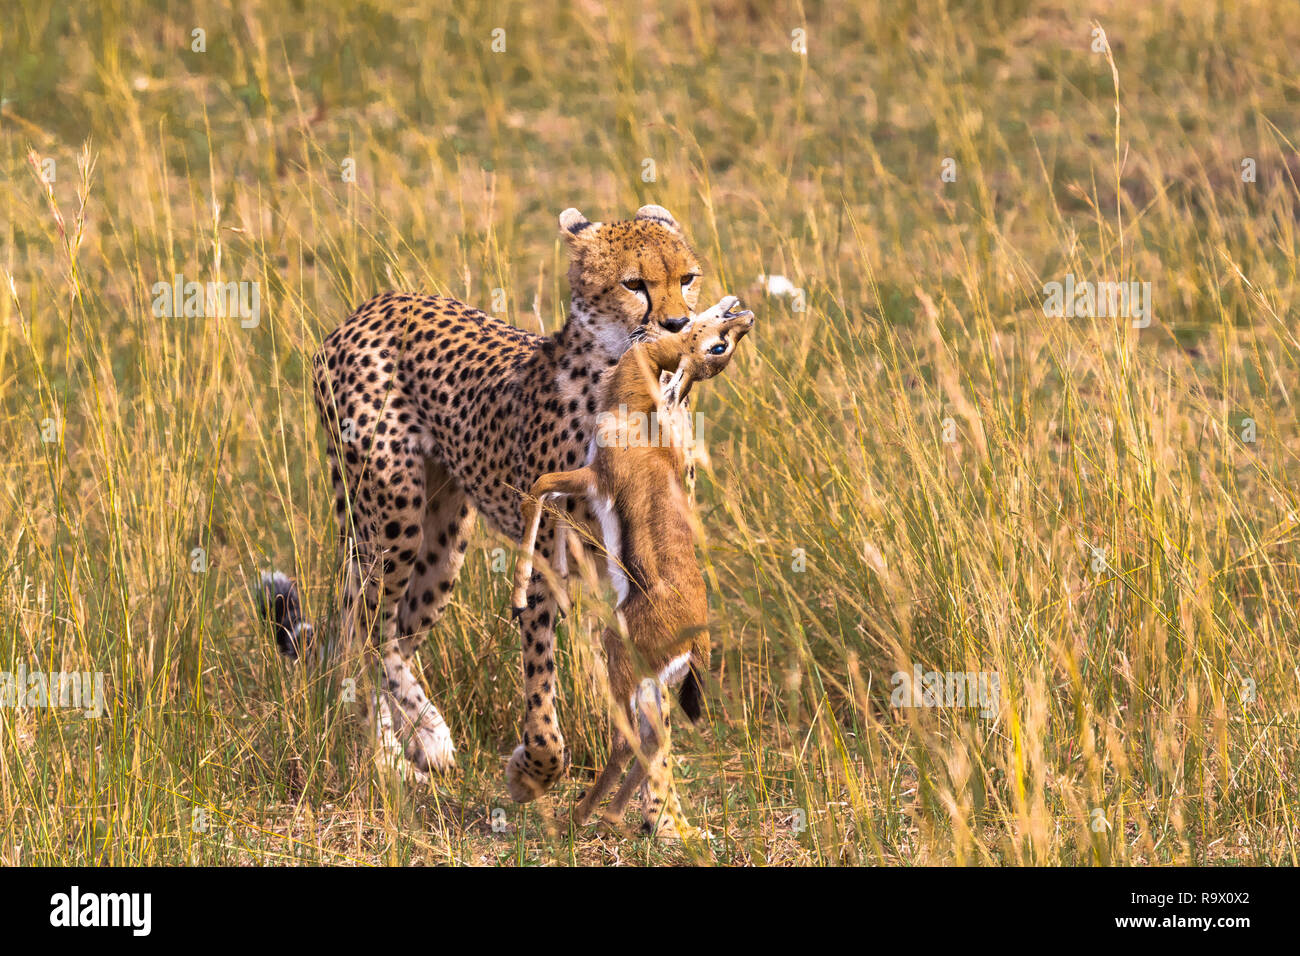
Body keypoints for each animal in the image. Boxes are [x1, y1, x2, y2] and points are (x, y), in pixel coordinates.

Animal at [263, 205, 707, 806]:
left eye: (687, 278)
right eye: (634, 284)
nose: (680, 325)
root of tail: (375, 304)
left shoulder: (641, 560)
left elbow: (649, 695)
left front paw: (661, 810)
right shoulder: (546, 556)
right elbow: (541, 680)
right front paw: (535, 769)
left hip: (442, 541)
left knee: (393, 631)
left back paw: (419, 735)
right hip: (391, 518)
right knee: (365, 629)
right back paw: (393, 755)